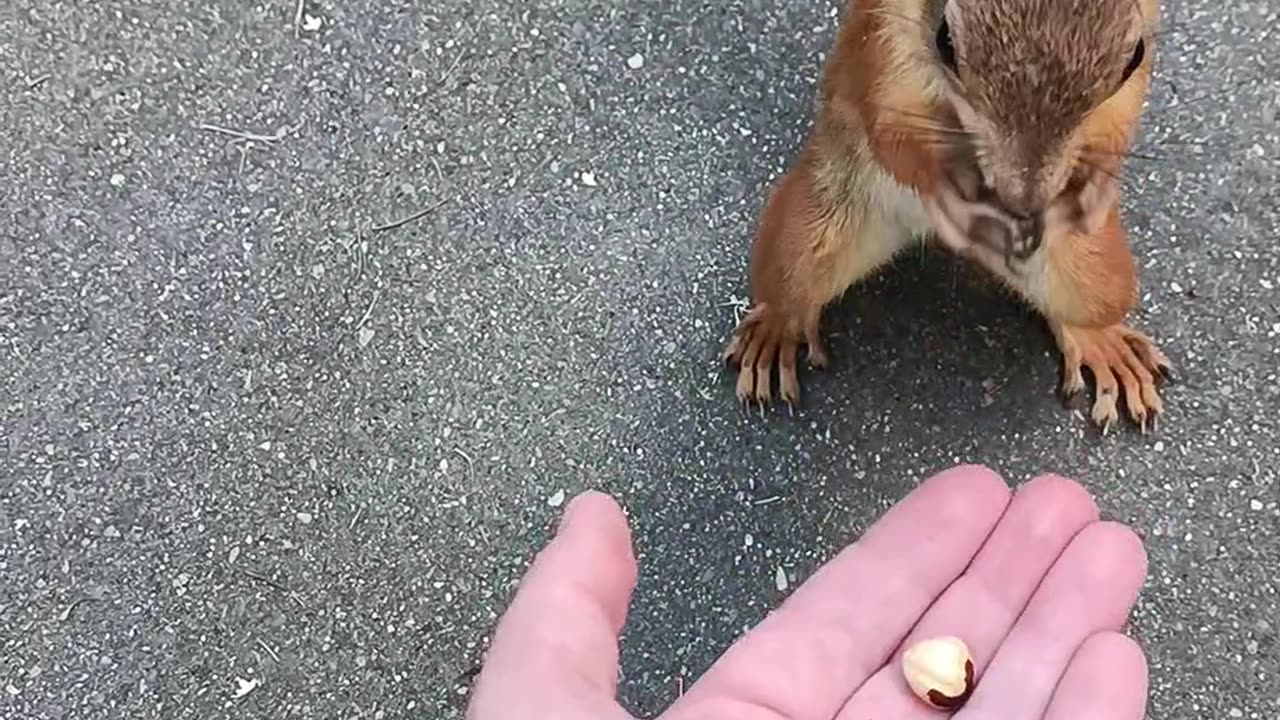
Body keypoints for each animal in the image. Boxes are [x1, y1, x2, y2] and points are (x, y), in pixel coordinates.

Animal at [721, 0, 1172, 430]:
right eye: (945, 41)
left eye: (1134, 54)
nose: (1023, 199)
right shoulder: (883, 47)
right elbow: (891, 126)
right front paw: (947, 189)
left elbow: (1123, 110)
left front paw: (1097, 181)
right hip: (810, 237)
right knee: (791, 286)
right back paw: (774, 330)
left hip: (1096, 283)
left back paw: (1102, 342)